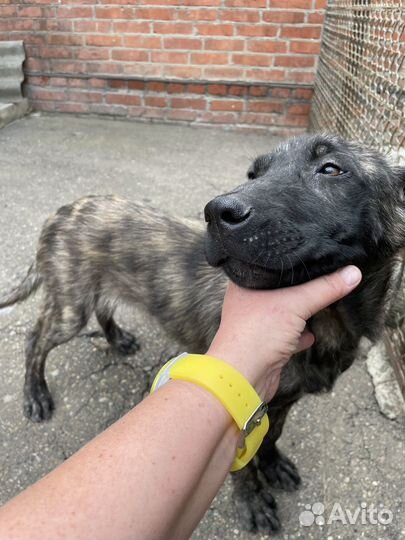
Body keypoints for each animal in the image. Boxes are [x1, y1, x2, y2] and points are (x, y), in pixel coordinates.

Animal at [0, 134, 404, 532]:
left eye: (332, 169)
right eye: (253, 173)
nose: (217, 212)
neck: (327, 323)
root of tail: (63, 209)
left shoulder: (281, 399)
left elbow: (272, 435)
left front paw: (273, 464)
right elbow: (244, 463)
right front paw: (253, 501)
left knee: (103, 307)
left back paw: (117, 339)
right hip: (71, 307)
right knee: (35, 340)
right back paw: (36, 393)